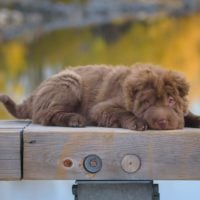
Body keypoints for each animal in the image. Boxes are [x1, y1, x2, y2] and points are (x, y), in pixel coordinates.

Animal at [0, 63, 200, 130]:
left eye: (171, 101)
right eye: (147, 102)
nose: (162, 122)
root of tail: (35, 92)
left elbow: (187, 114)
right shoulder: (101, 108)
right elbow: (122, 112)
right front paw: (137, 122)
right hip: (70, 82)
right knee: (46, 115)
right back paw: (74, 119)